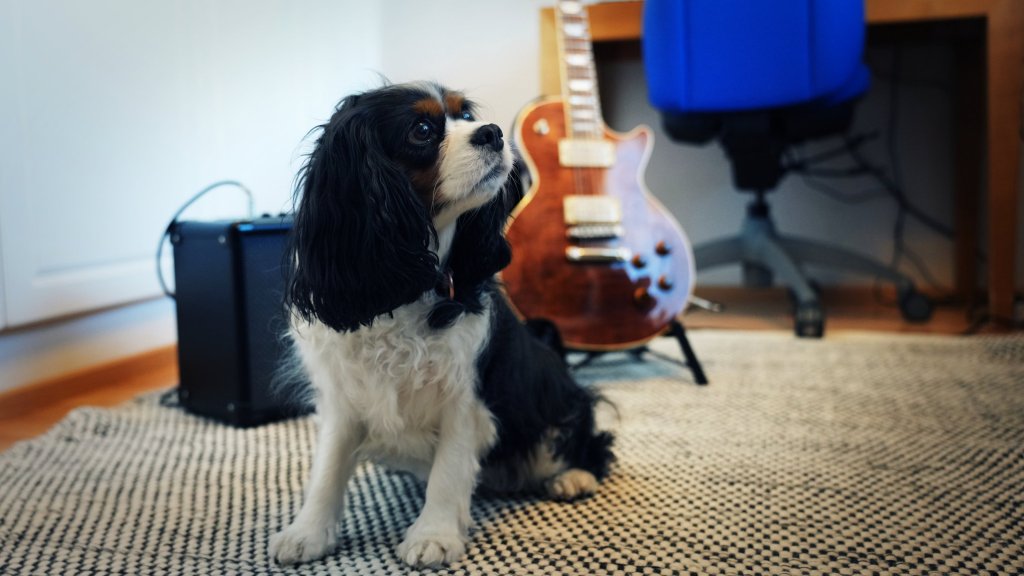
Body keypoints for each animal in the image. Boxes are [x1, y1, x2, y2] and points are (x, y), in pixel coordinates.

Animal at [268, 81, 614, 568]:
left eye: (465, 115)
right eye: (423, 130)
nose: (492, 132)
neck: (409, 286)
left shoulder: (465, 397)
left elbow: (448, 471)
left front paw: (433, 535)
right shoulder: (342, 397)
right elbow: (328, 466)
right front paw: (308, 533)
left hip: (555, 403)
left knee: (591, 441)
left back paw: (574, 476)